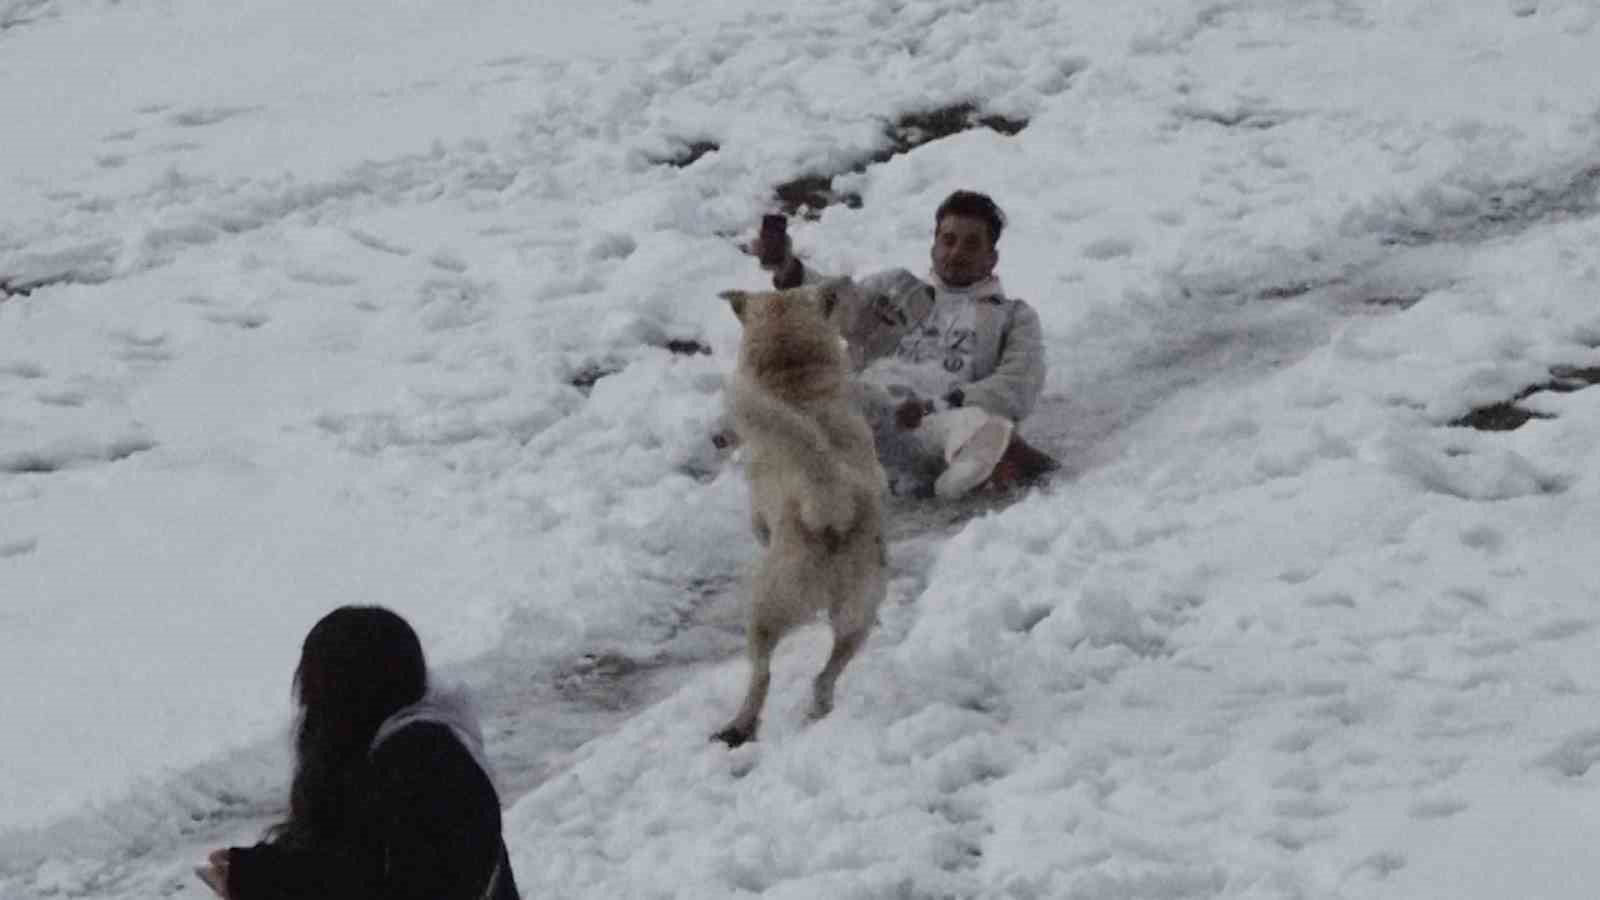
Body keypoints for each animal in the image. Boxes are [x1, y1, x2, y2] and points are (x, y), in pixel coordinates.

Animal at [713, 280, 889, 743]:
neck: (794, 379)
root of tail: (834, 504)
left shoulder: (759, 516)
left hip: (766, 607)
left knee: (761, 674)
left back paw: (739, 726)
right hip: (859, 612)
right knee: (827, 673)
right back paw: (819, 707)